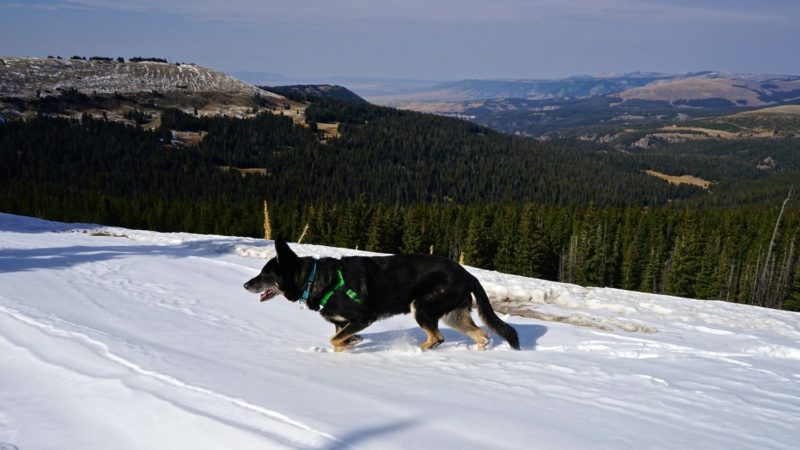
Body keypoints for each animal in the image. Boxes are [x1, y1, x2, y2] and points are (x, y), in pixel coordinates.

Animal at [242, 239, 520, 352]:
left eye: (265, 274)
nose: (245, 285)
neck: (314, 279)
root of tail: (467, 275)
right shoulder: (342, 323)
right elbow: (337, 341)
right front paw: (351, 345)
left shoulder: (363, 318)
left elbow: (335, 341)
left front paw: (352, 344)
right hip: (453, 315)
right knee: (483, 336)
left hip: (422, 307)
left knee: (437, 337)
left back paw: (414, 352)